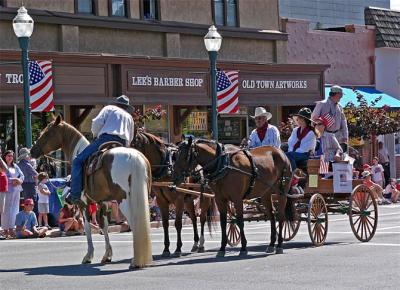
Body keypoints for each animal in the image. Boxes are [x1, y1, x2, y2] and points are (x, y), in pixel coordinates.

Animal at [30, 114, 152, 268]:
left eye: (47, 133)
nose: (32, 151)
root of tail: (134, 157)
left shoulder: (83, 204)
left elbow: (87, 227)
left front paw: (88, 256)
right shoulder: (102, 203)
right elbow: (104, 227)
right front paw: (107, 255)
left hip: (123, 200)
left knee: (135, 224)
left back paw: (135, 261)